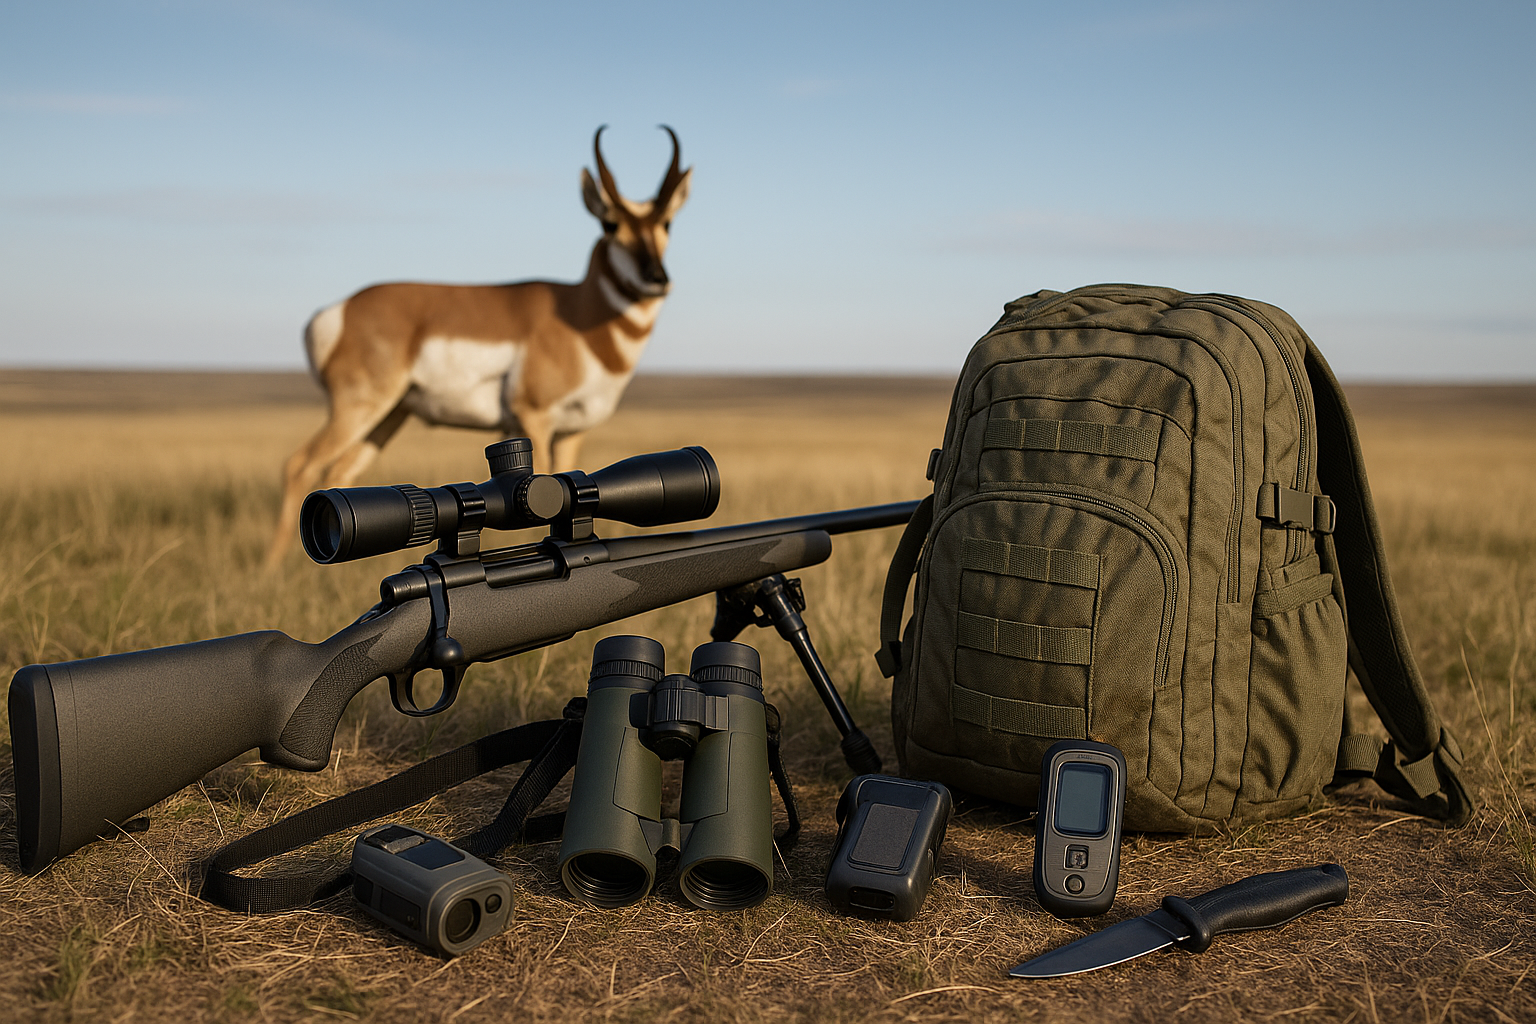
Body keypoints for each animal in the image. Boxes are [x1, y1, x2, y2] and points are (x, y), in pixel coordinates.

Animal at [266, 126, 692, 566]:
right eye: (609, 224)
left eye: (668, 223)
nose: (657, 278)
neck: (578, 313)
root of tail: (337, 311)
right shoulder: (533, 418)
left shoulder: (573, 431)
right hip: (358, 408)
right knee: (299, 465)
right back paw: (272, 568)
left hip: (388, 416)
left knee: (340, 472)